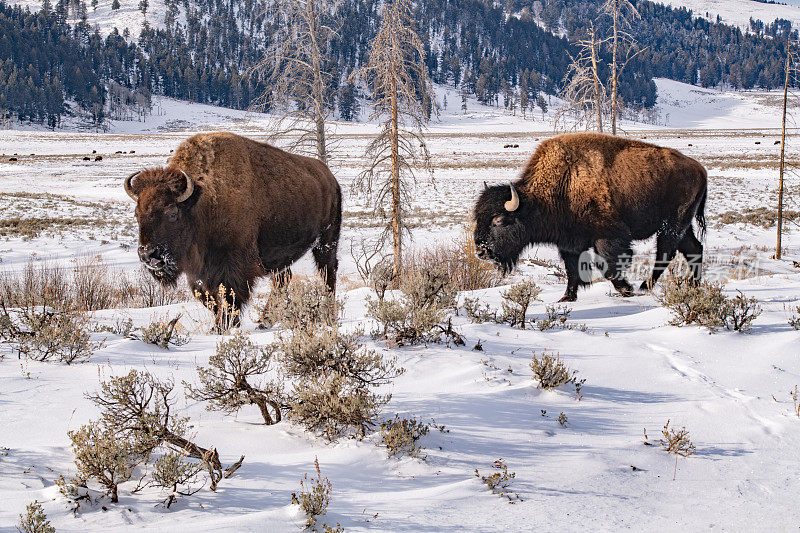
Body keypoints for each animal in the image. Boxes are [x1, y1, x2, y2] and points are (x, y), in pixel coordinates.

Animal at [123, 131, 342, 326]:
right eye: (137, 213)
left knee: (327, 272)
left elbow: (230, 298)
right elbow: (209, 299)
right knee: (283, 279)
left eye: (172, 212)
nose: (147, 254)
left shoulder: (235, 266)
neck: (201, 201)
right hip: (282, 255)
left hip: (326, 241)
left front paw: (223, 326)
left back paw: (328, 315)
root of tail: (330, 178)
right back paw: (265, 321)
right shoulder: (199, 273)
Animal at [476, 131, 708, 302]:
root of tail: (700, 169)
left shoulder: (609, 238)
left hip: (672, 224)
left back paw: (645, 286)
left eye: (499, 221)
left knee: (666, 252)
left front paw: (627, 289)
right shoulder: (569, 244)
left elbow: (608, 266)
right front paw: (567, 298)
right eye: (477, 218)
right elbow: (572, 270)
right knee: (693, 248)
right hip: (683, 226)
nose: (481, 252)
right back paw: (693, 285)